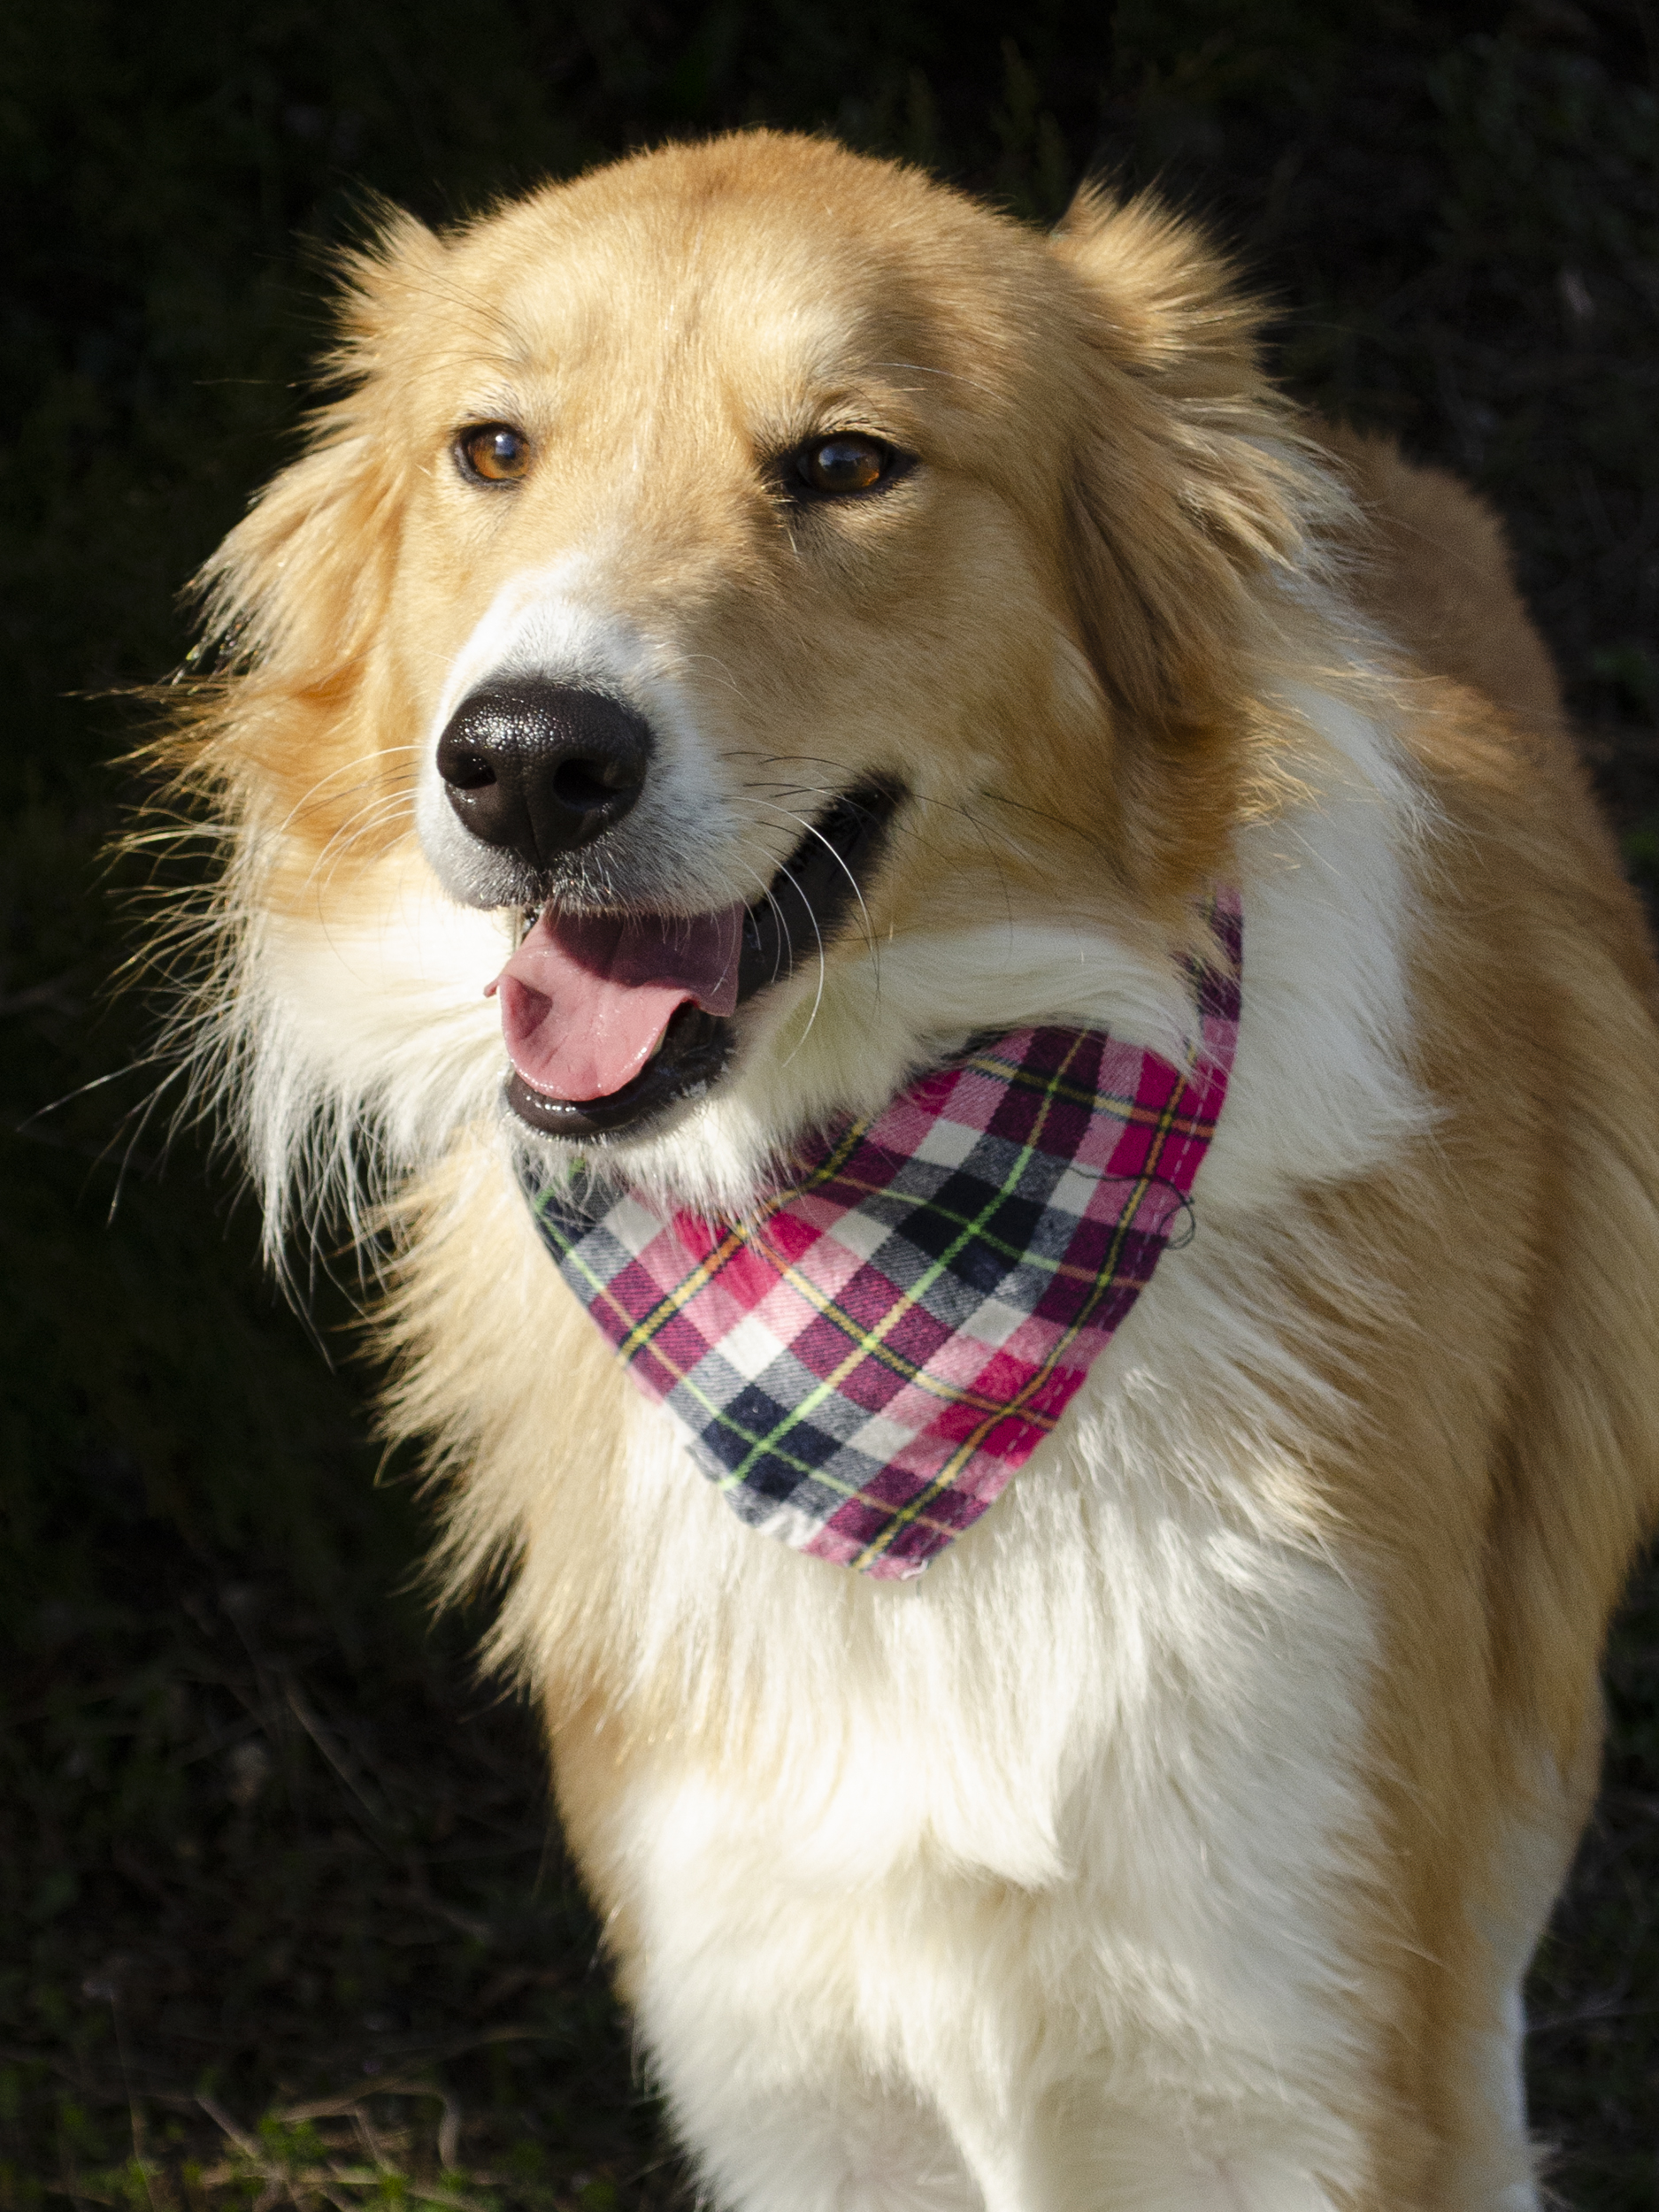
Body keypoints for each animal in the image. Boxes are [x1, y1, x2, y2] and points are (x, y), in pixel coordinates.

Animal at [159, 130, 1659, 2209]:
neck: (870, 1253)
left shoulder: (1296, 2071)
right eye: (491, 449)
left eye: (849, 464)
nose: (525, 758)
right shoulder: (791, 2068)